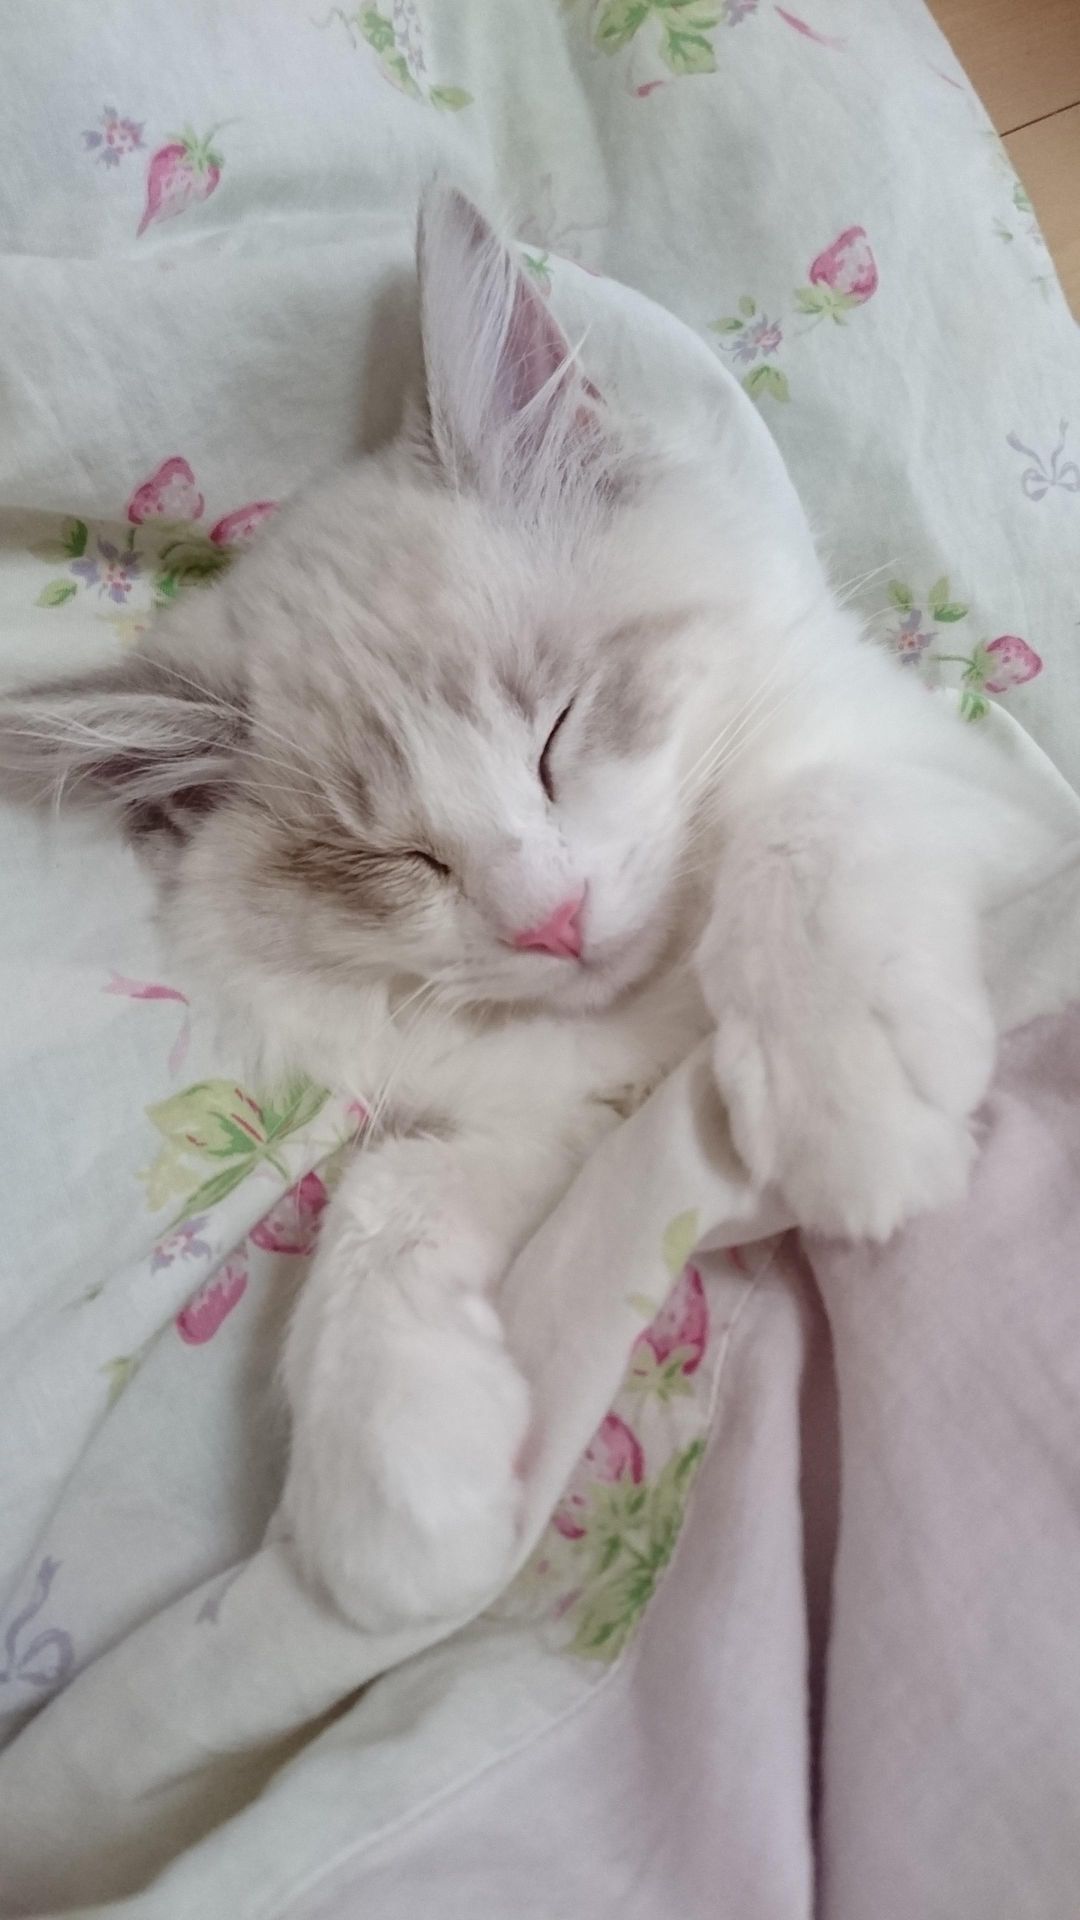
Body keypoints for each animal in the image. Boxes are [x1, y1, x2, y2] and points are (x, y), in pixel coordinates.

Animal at [0, 184, 1041, 1629]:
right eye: (397, 863)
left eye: (556, 734)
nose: (550, 921)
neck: (671, 1000)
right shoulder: (591, 1114)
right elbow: (391, 1195)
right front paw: (391, 1487)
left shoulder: (996, 807)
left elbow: (804, 826)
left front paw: (846, 1104)